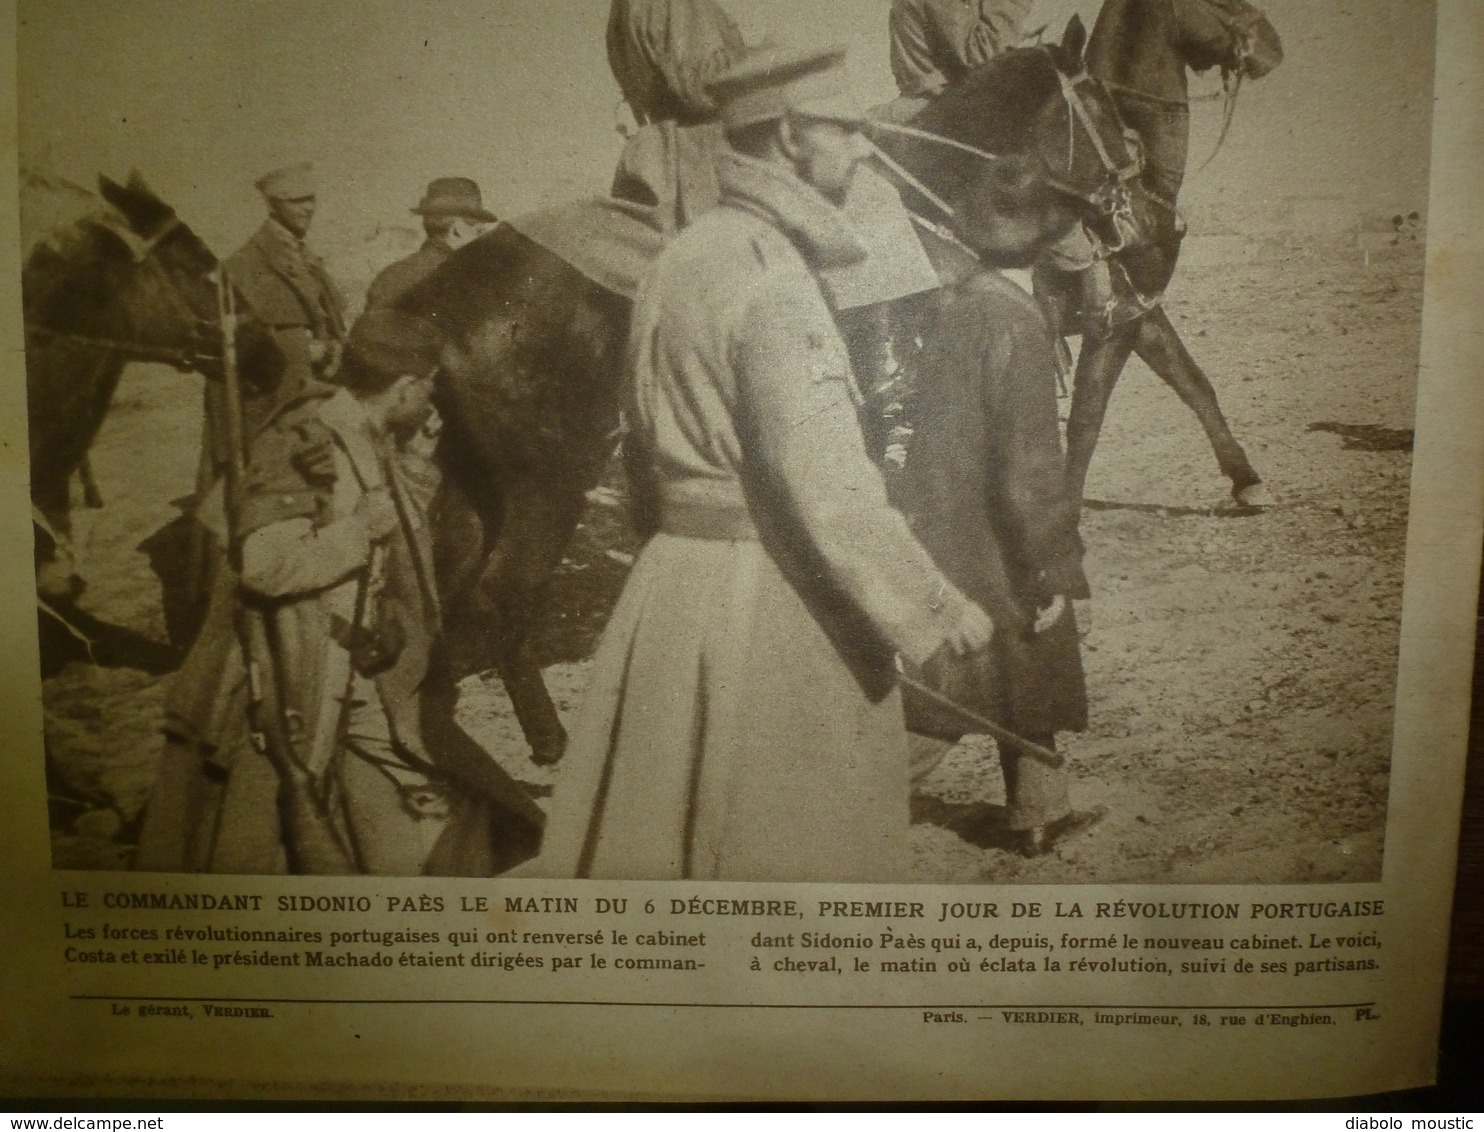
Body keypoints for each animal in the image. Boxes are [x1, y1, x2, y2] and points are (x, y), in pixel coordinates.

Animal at [400, 17, 1139, 765]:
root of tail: (436, 303)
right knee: (500, 598)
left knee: (450, 591)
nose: (1129, 210)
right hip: (548, 484)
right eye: (1105, 111)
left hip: (476, 484)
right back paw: (547, 743)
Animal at [1038, 0, 1282, 504]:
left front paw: (1246, 479)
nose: (1272, 45)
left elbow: (1191, 381)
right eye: (1221, 2)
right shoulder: (1117, 315)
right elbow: (1088, 413)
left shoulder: (1141, 304)